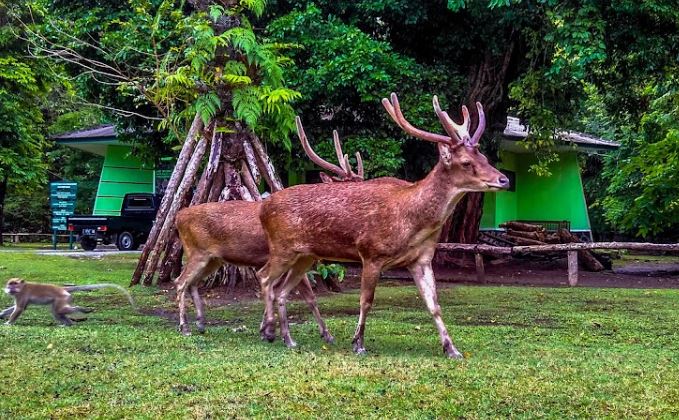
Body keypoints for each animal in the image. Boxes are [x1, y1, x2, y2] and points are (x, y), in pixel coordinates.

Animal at [0, 278, 137, 326]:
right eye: (9, 284)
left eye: (14, 284)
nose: (9, 289)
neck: (22, 287)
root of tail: (62, 289)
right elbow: (17, 307)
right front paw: (1, 314)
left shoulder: (22, 294)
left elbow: (19, 309)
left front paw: (8, 323)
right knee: (57, 312)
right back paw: (68, 324)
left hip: (63, 298)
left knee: (59, 310)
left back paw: (81, 309)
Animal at [173, 119, 370, 348]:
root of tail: (178, 217)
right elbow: (309, 298)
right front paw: (322, 334)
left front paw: (266, 329)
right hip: (196, 252)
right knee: (180, 281)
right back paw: (184, 327)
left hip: (214, 258)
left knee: (193, 283)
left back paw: (201, 323)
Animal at [258, 93, 510, 360]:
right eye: (465, 162)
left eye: (485, 158)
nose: (504, 179)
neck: (412, 222)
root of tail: (263, 208)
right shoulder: (371, 253)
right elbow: (366, 300)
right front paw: (358, 343)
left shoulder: (422, 259)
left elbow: (434, 304)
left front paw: (452, 349)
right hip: (282, 248)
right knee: (264, 277)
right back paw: (269, 331)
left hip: (305, 256)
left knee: (282, 289)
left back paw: (288, 339)